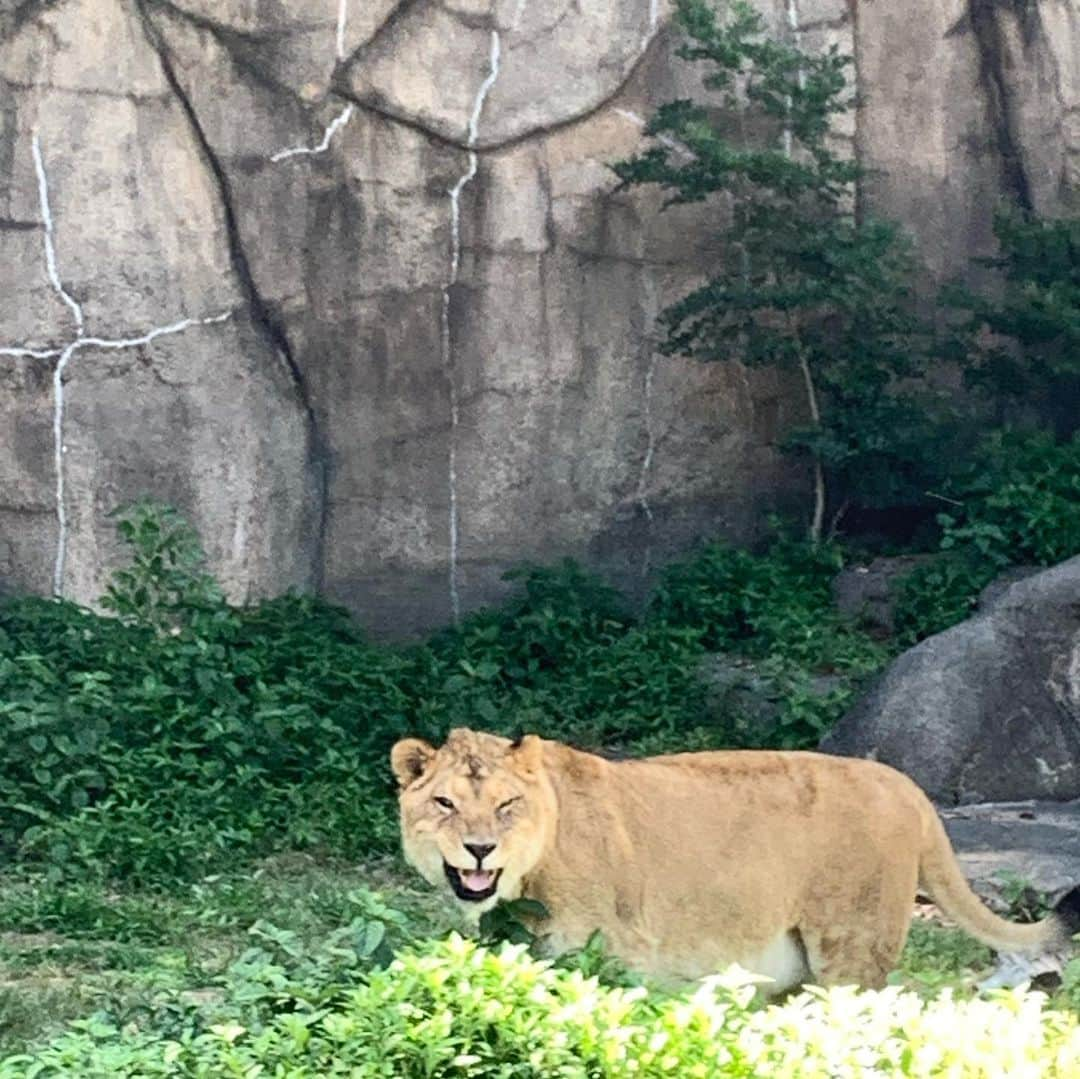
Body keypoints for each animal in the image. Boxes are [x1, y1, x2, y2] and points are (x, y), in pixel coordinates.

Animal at [390, 730, 1080, 989]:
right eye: (446, 804)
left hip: (851, 950)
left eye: (506, 805)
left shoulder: (618, 955)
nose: (481, 848)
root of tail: (902, 784)